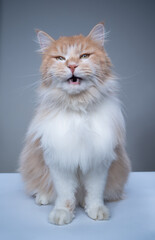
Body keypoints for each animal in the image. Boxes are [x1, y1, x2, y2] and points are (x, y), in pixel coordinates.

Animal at [19, 22, 131, 225]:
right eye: (60, 58)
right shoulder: (59, 161)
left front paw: (96, 210)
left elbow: (94, 193)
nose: (72, 65)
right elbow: (65, 195)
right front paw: (62, 213)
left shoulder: (98, 162)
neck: (78, 107)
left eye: (84, 56)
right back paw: (43, 197)